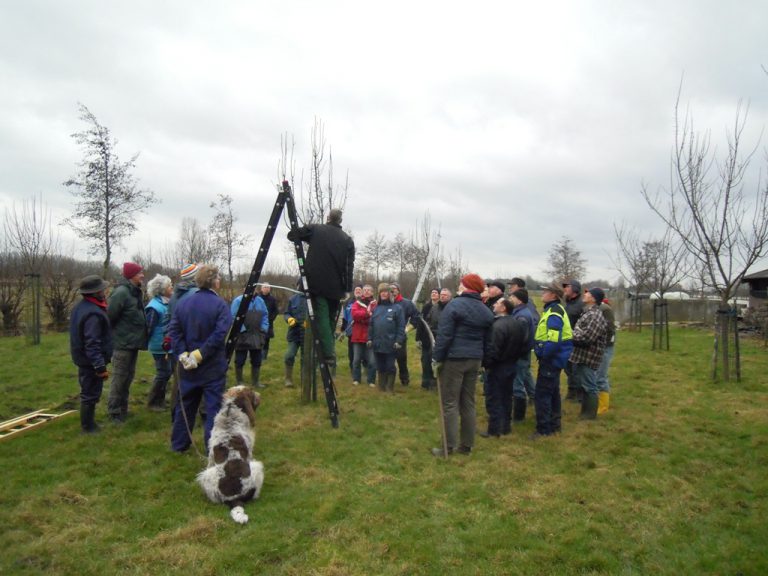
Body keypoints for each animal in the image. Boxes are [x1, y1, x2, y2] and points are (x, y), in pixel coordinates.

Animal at [196, 384, 266, 524]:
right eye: (251, 392)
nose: (259, 394)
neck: (231, 411)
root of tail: (234, 498)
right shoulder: (250, 452)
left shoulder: (210, 455)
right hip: (257, 466)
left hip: (206, 474)